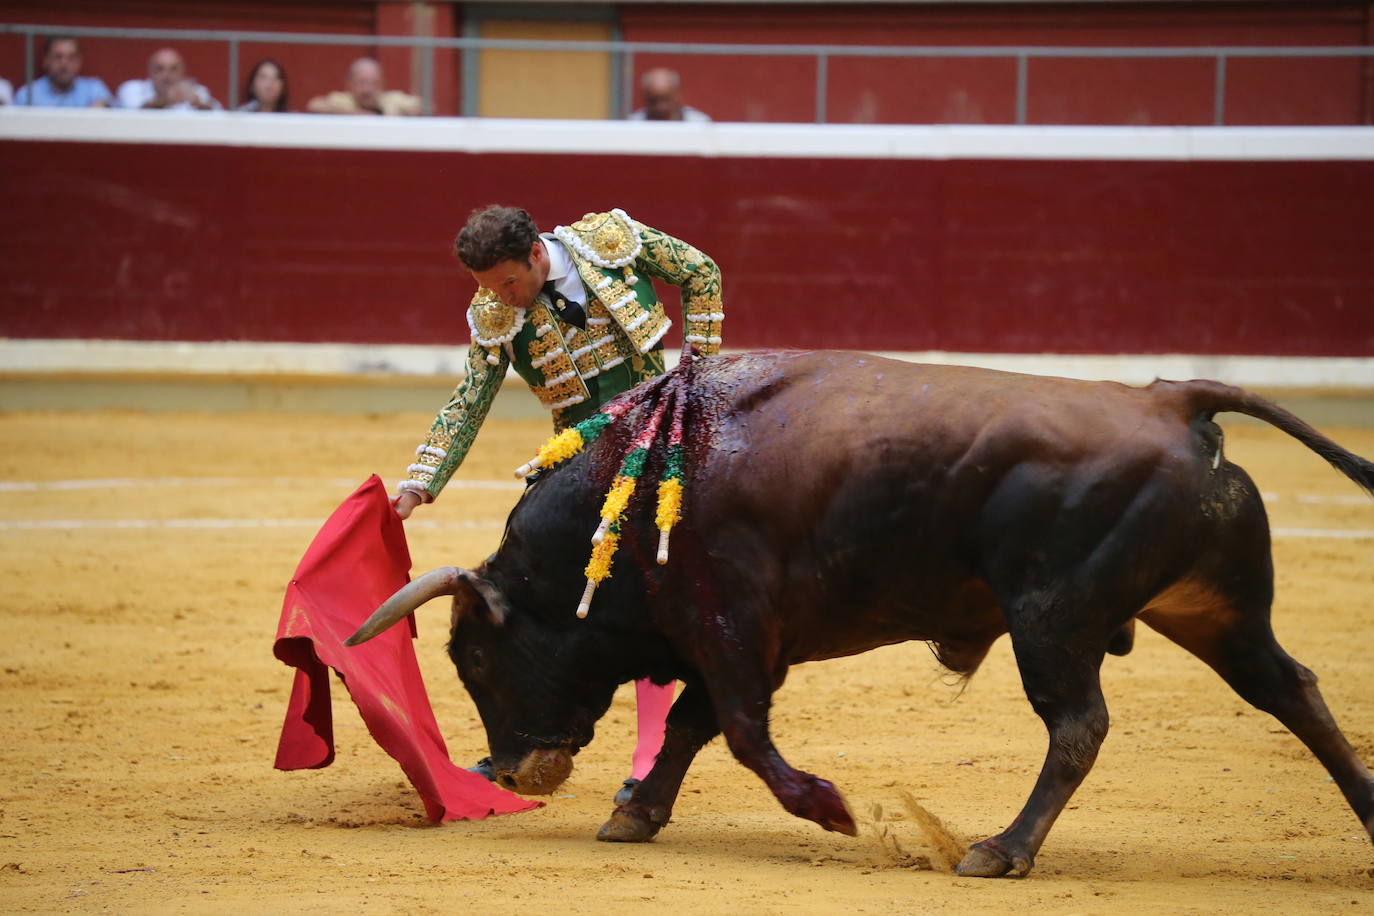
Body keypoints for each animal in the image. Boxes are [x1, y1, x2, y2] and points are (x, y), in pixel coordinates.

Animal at [346, 354, 1374, 878]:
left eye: (475, 660)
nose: (509, 770)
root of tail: (1173, 401)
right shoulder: (732, 639)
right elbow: (693, 727)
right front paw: (635, 815)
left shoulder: (732, 626)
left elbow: (740, 733)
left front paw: (829, 809)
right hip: (1212, 610)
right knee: (1295, 692)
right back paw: (1368, 821)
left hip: (1054, 618)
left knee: (1079, 723)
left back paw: (1000, 851)